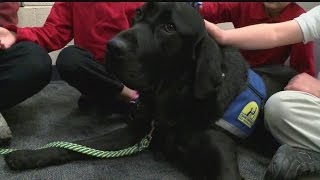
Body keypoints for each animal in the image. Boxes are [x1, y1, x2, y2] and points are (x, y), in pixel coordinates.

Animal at [3, 2, 298, 180]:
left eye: (169, 27)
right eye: (138, 14)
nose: (112, 46)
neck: (171, 96)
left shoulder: (222, 158)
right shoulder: (135, 130)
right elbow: (79, 145)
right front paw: (28, 155)